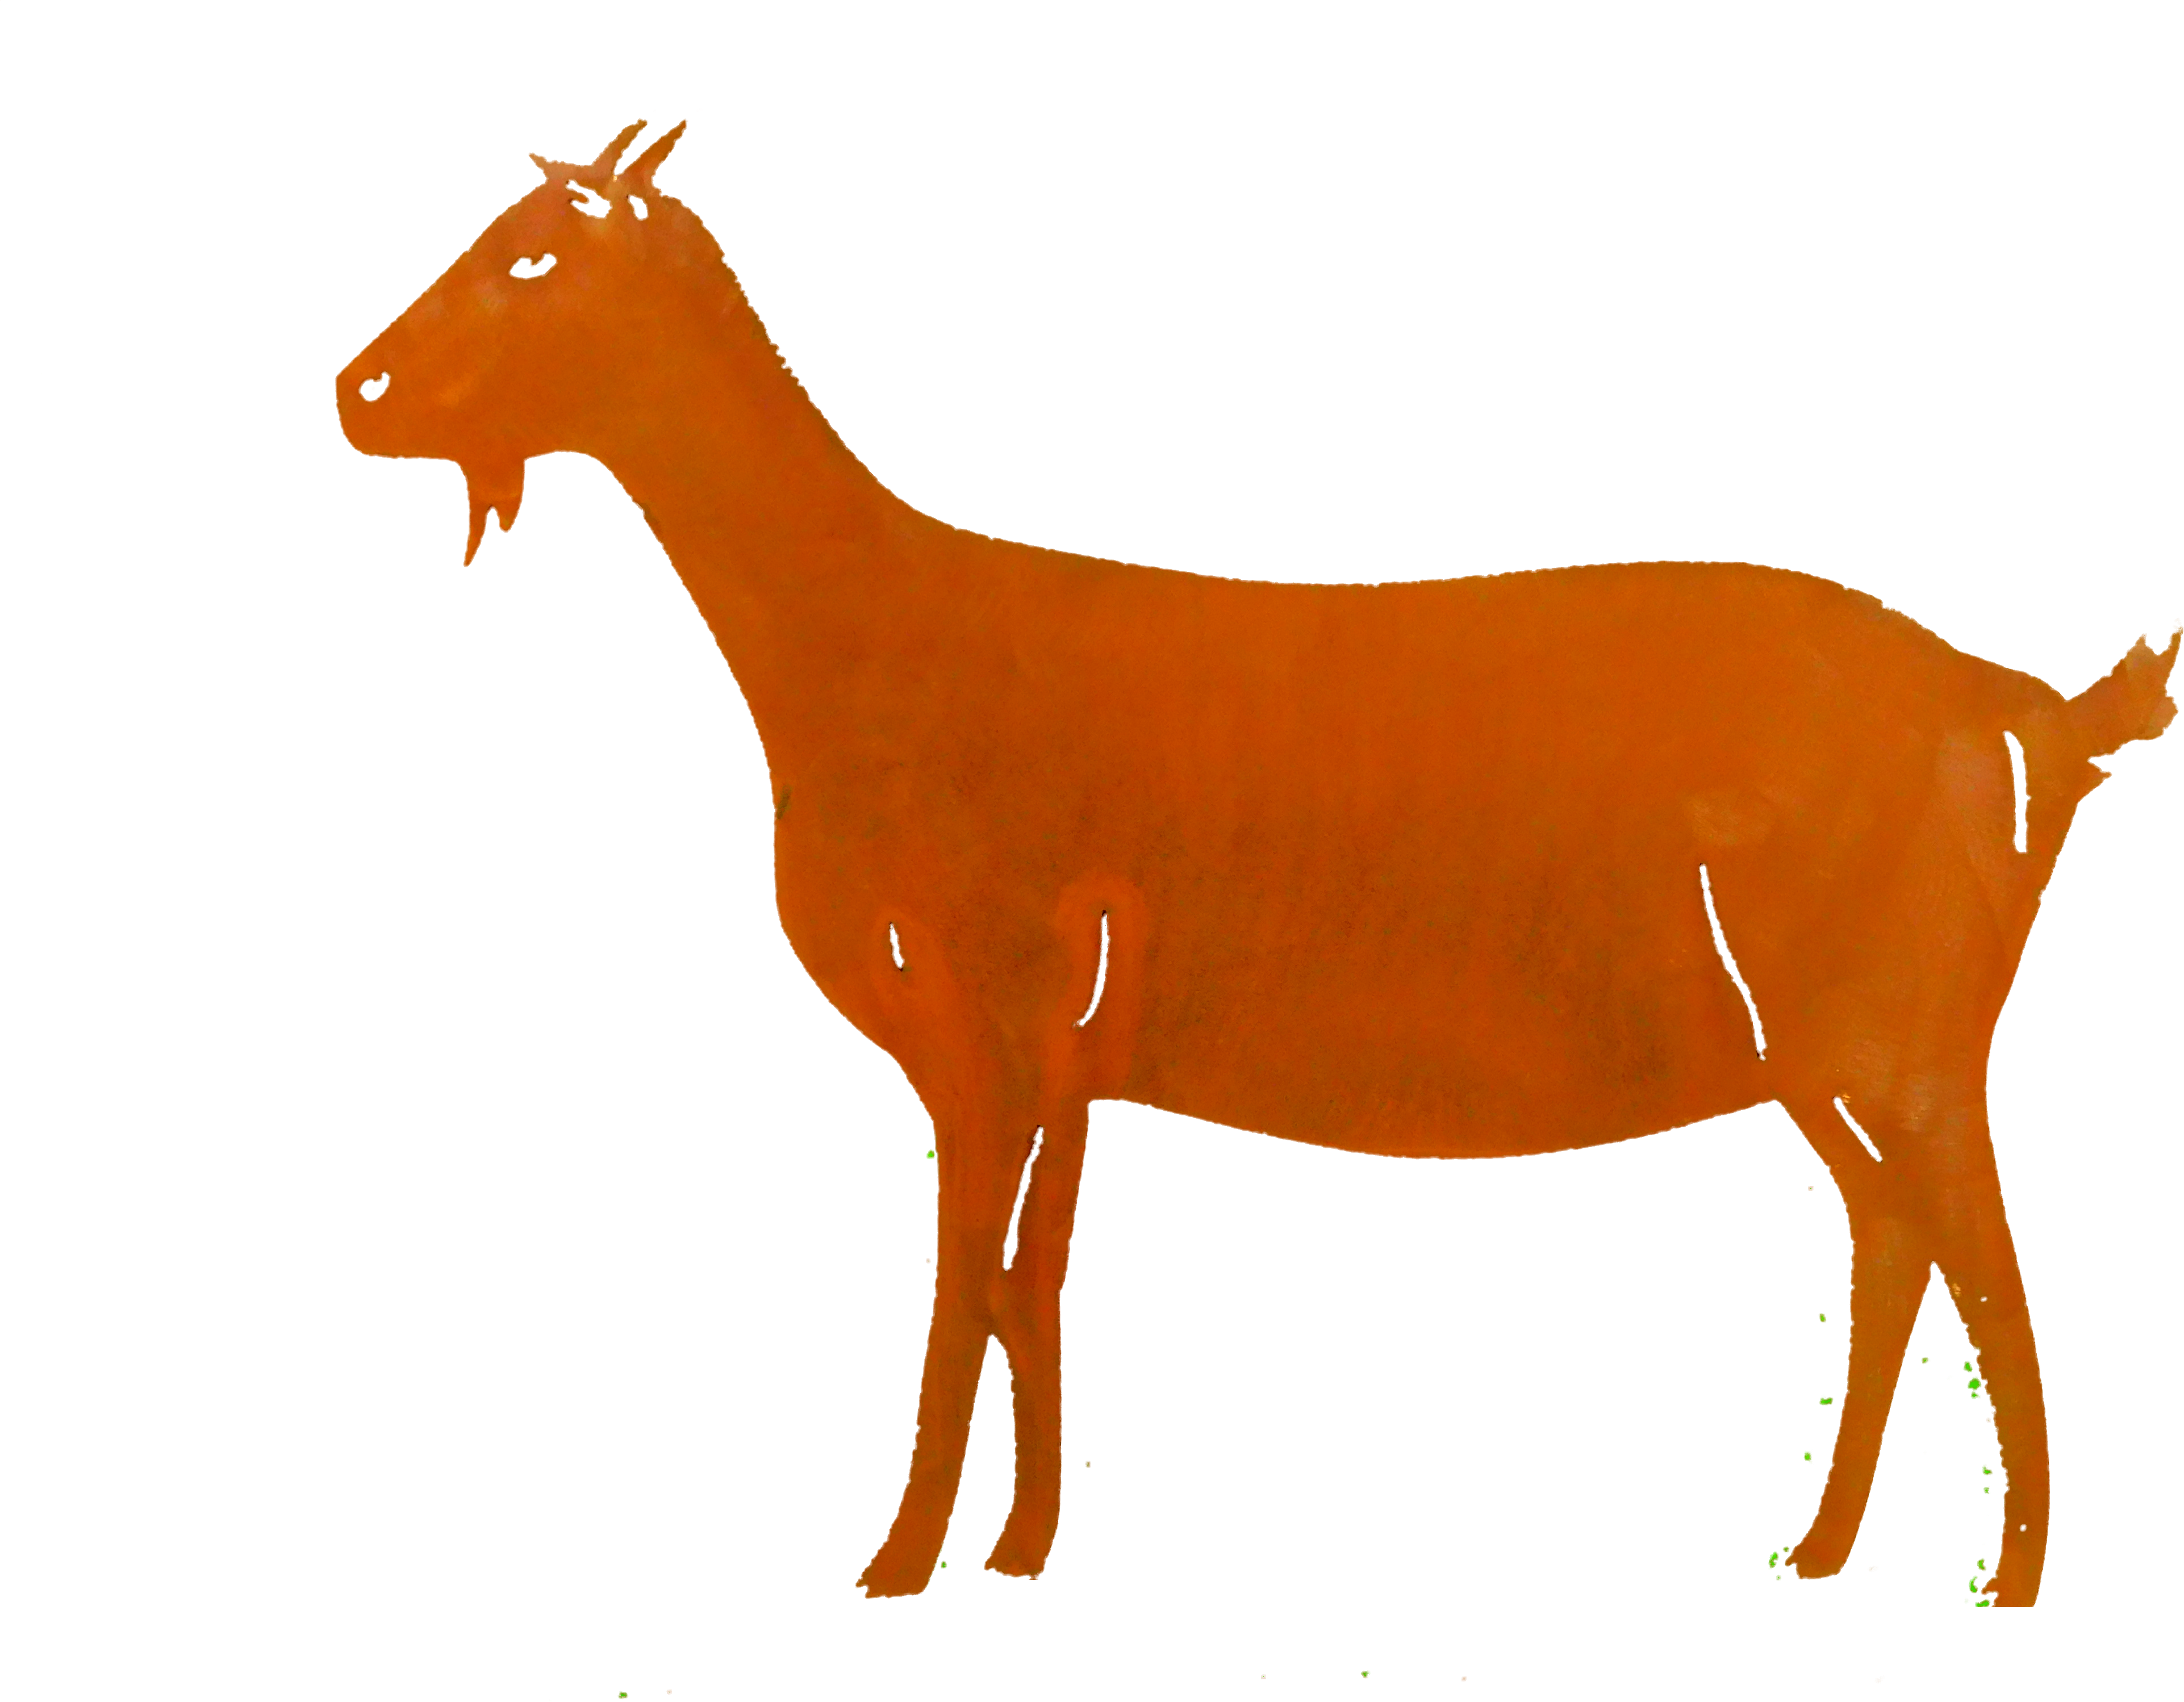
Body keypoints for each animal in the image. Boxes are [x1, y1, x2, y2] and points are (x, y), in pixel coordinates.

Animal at [335, 114, 2177, 1608]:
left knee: (1983, 1254)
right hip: (1826, 1046)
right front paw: (1019, 1551)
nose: (355, 390)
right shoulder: (1065, 1055)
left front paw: (894, 1567)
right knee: (1891, 1237)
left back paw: (2011, 1581)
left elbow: (961, 1288)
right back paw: (1822, 1547)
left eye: (533, 254)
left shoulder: (987, 1023)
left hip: (1907, 1029)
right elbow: (1034, 1279)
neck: (871, 640)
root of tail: (2014, 709)